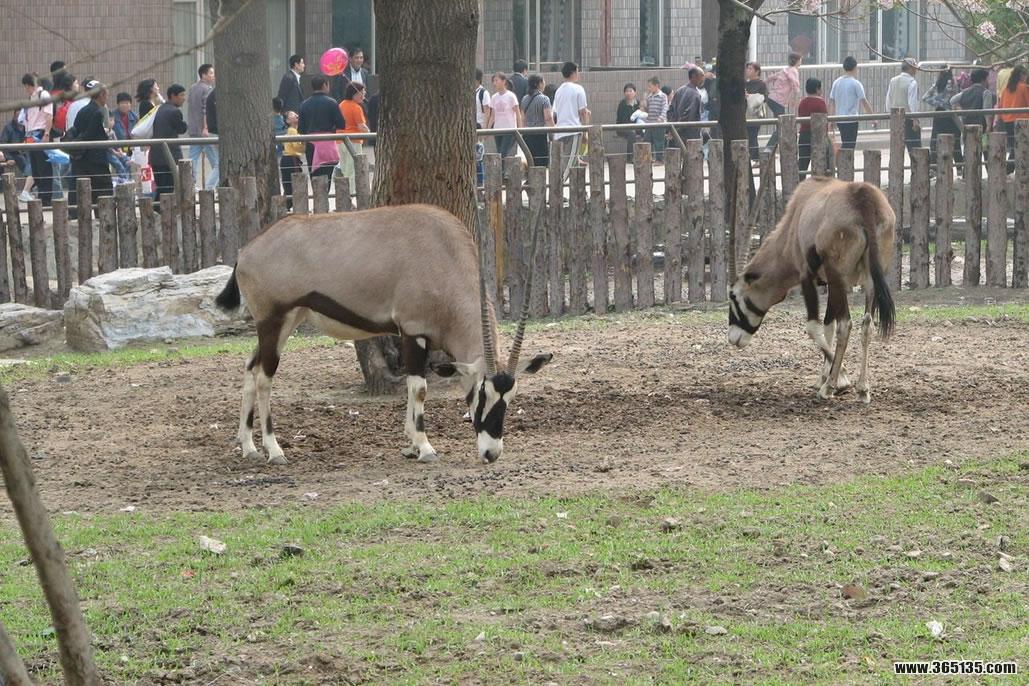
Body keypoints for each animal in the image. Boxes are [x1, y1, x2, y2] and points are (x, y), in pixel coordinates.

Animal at [214, 202, 552, 465]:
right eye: (482, 393)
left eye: (511, 396)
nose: (491, 453)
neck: (444, 254)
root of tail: (247, 251)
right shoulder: (413, 332)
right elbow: (419, 388)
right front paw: (424, 447)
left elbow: (413, 388)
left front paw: (410, 445)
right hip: (273, 321)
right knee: (263, 378)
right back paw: (274, 451)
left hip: (283, 324)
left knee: (250, 367)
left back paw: (248, 447)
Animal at [727, 176, 896, 403]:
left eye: (734, 296)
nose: (733, 338)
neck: (793, 221)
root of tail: (863, 198)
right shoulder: (832, 284)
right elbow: (828, 326)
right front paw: (823, 378)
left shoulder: (806, 276)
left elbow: (814, 328)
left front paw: (839, 381)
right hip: (869, 278)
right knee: (866, 324)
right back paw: (863, 389)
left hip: (838, 275)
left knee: (846, 325)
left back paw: (831, 387)